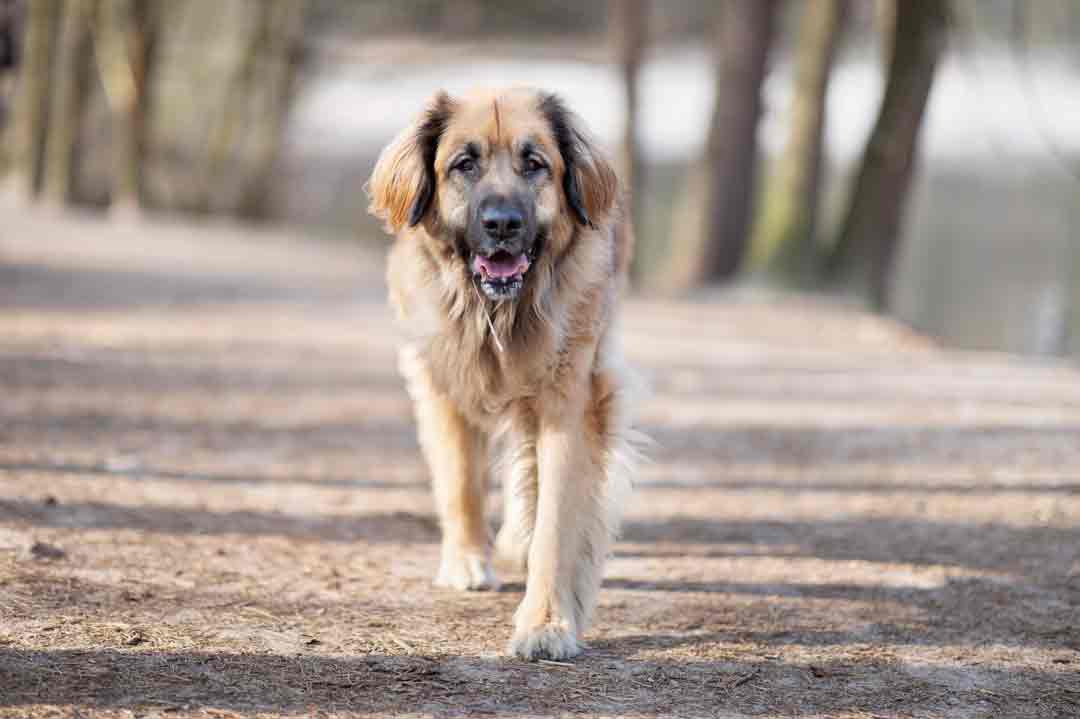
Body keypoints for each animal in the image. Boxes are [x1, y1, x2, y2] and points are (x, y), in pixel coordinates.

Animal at [371, 86, 639, 656]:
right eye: (464, 164)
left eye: (534, 163)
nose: (501, 224)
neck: (498, 313)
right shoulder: (440, 380)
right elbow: (460, 480)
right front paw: (467, 562)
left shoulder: (570, 399)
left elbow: (556, 521)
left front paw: (547, 623)